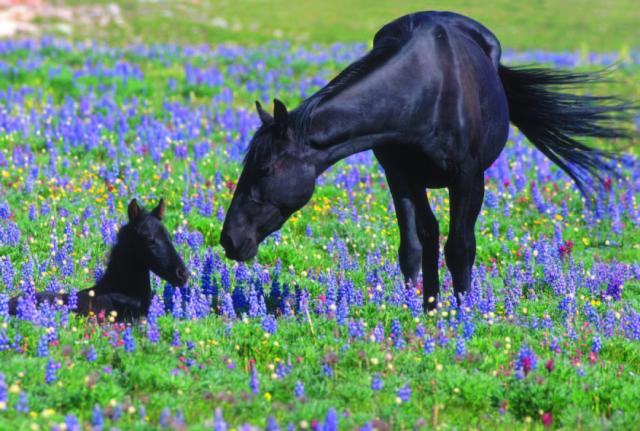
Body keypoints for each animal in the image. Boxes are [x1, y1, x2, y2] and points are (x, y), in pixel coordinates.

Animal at [220, 11, 634, 311]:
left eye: (264, 168)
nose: (229, 239)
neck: (422, 94)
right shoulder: (399, 175)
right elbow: (413, 247)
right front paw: (419, 312)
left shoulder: (468, 177)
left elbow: (460, 247)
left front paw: (465, 314)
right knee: (428, 233)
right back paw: (431, 305)